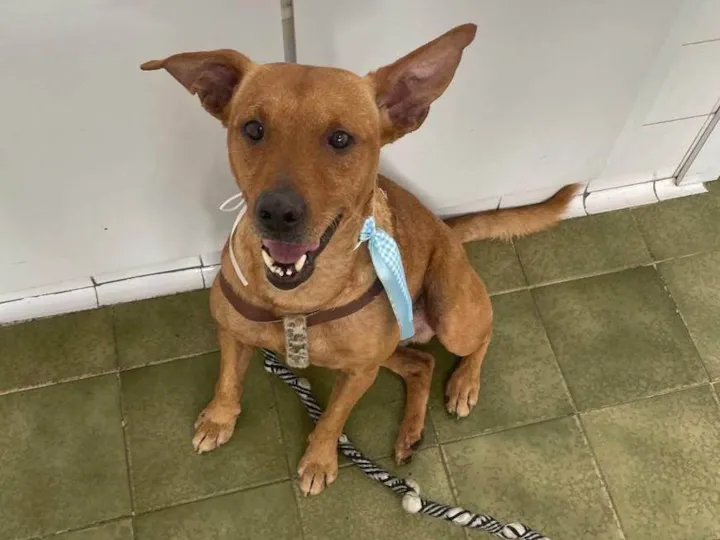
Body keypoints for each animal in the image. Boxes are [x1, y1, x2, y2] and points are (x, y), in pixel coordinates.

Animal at [141, 23, 578, 497]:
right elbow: (227, 379)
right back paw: (410, 433)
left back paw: (464, 384)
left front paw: (318, 460)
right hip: (391, 348)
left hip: (450, 317)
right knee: (422, 364)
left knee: (482, 334)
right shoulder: (233, 332)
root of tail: (446, 227)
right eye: (254, 128)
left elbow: (333, 419)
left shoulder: (357, 373)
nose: (277, 212)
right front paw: (219, 419)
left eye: (340, 139)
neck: (298, 301)